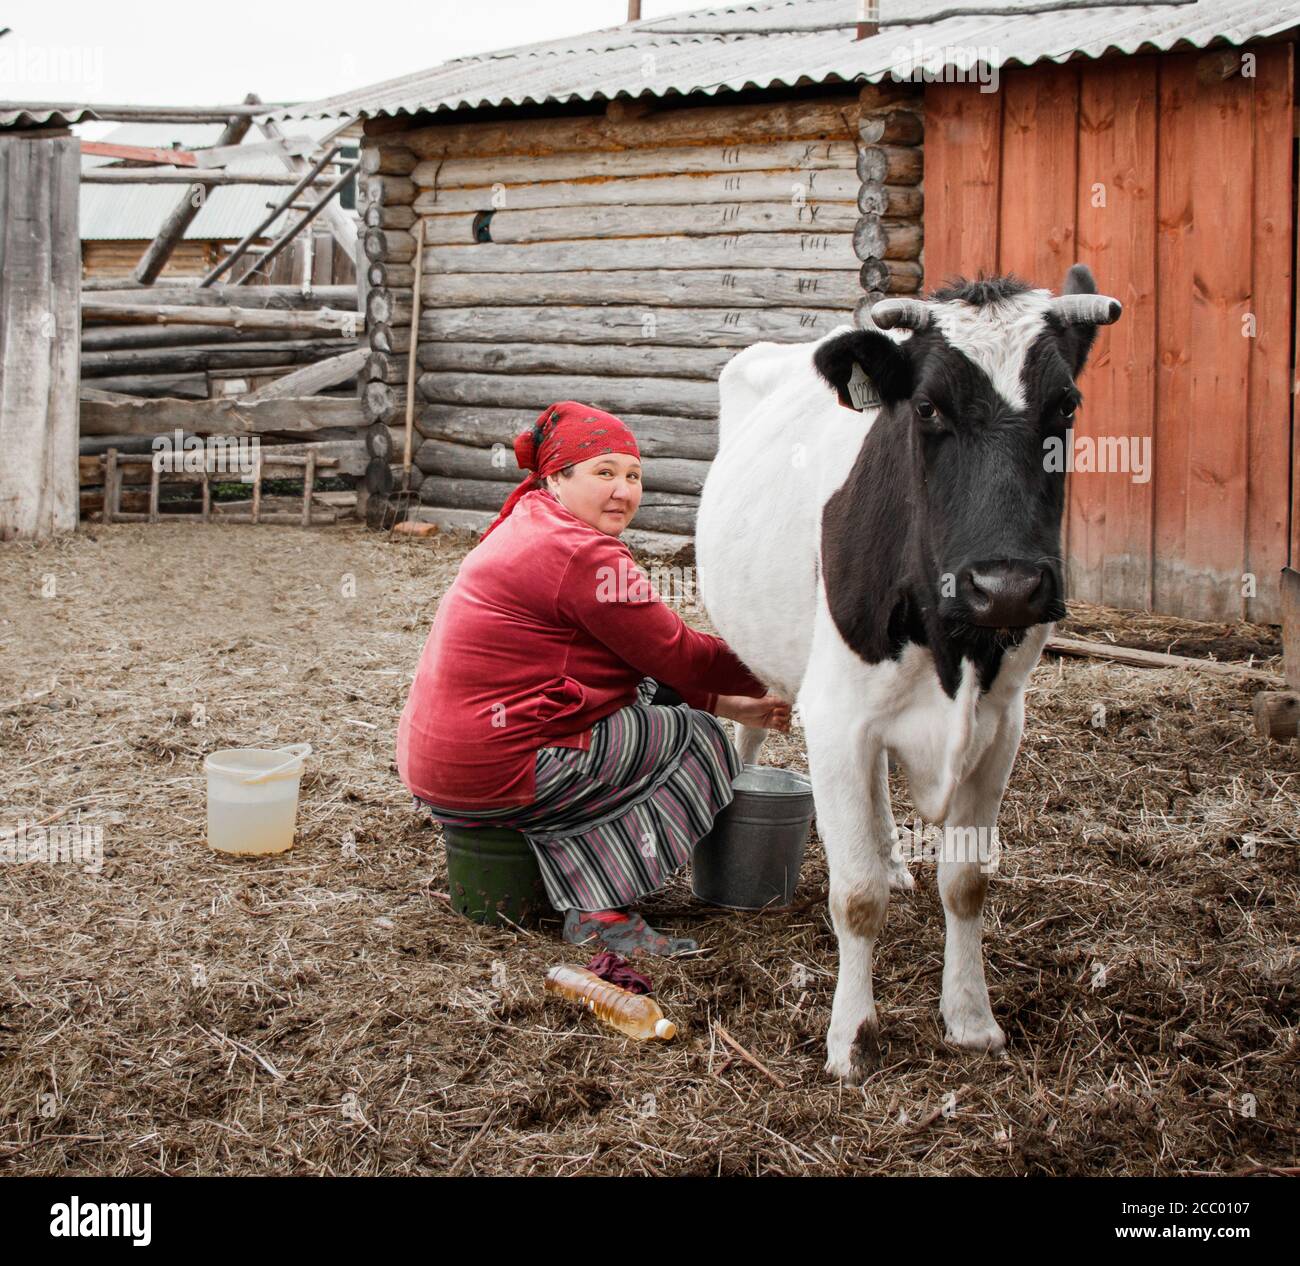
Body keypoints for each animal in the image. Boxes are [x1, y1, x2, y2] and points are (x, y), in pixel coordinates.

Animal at [696, 265, 1123, 1081]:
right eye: (927, 407)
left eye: (1066, 405)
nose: (1005, 587)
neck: (954, 645)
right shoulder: (836, 718)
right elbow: (855, 895)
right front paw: (851, 1037)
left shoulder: (1001, 723)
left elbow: (967, 881)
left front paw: (971, 1018)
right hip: (750, 647)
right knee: (748, 734)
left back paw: (897, 857)